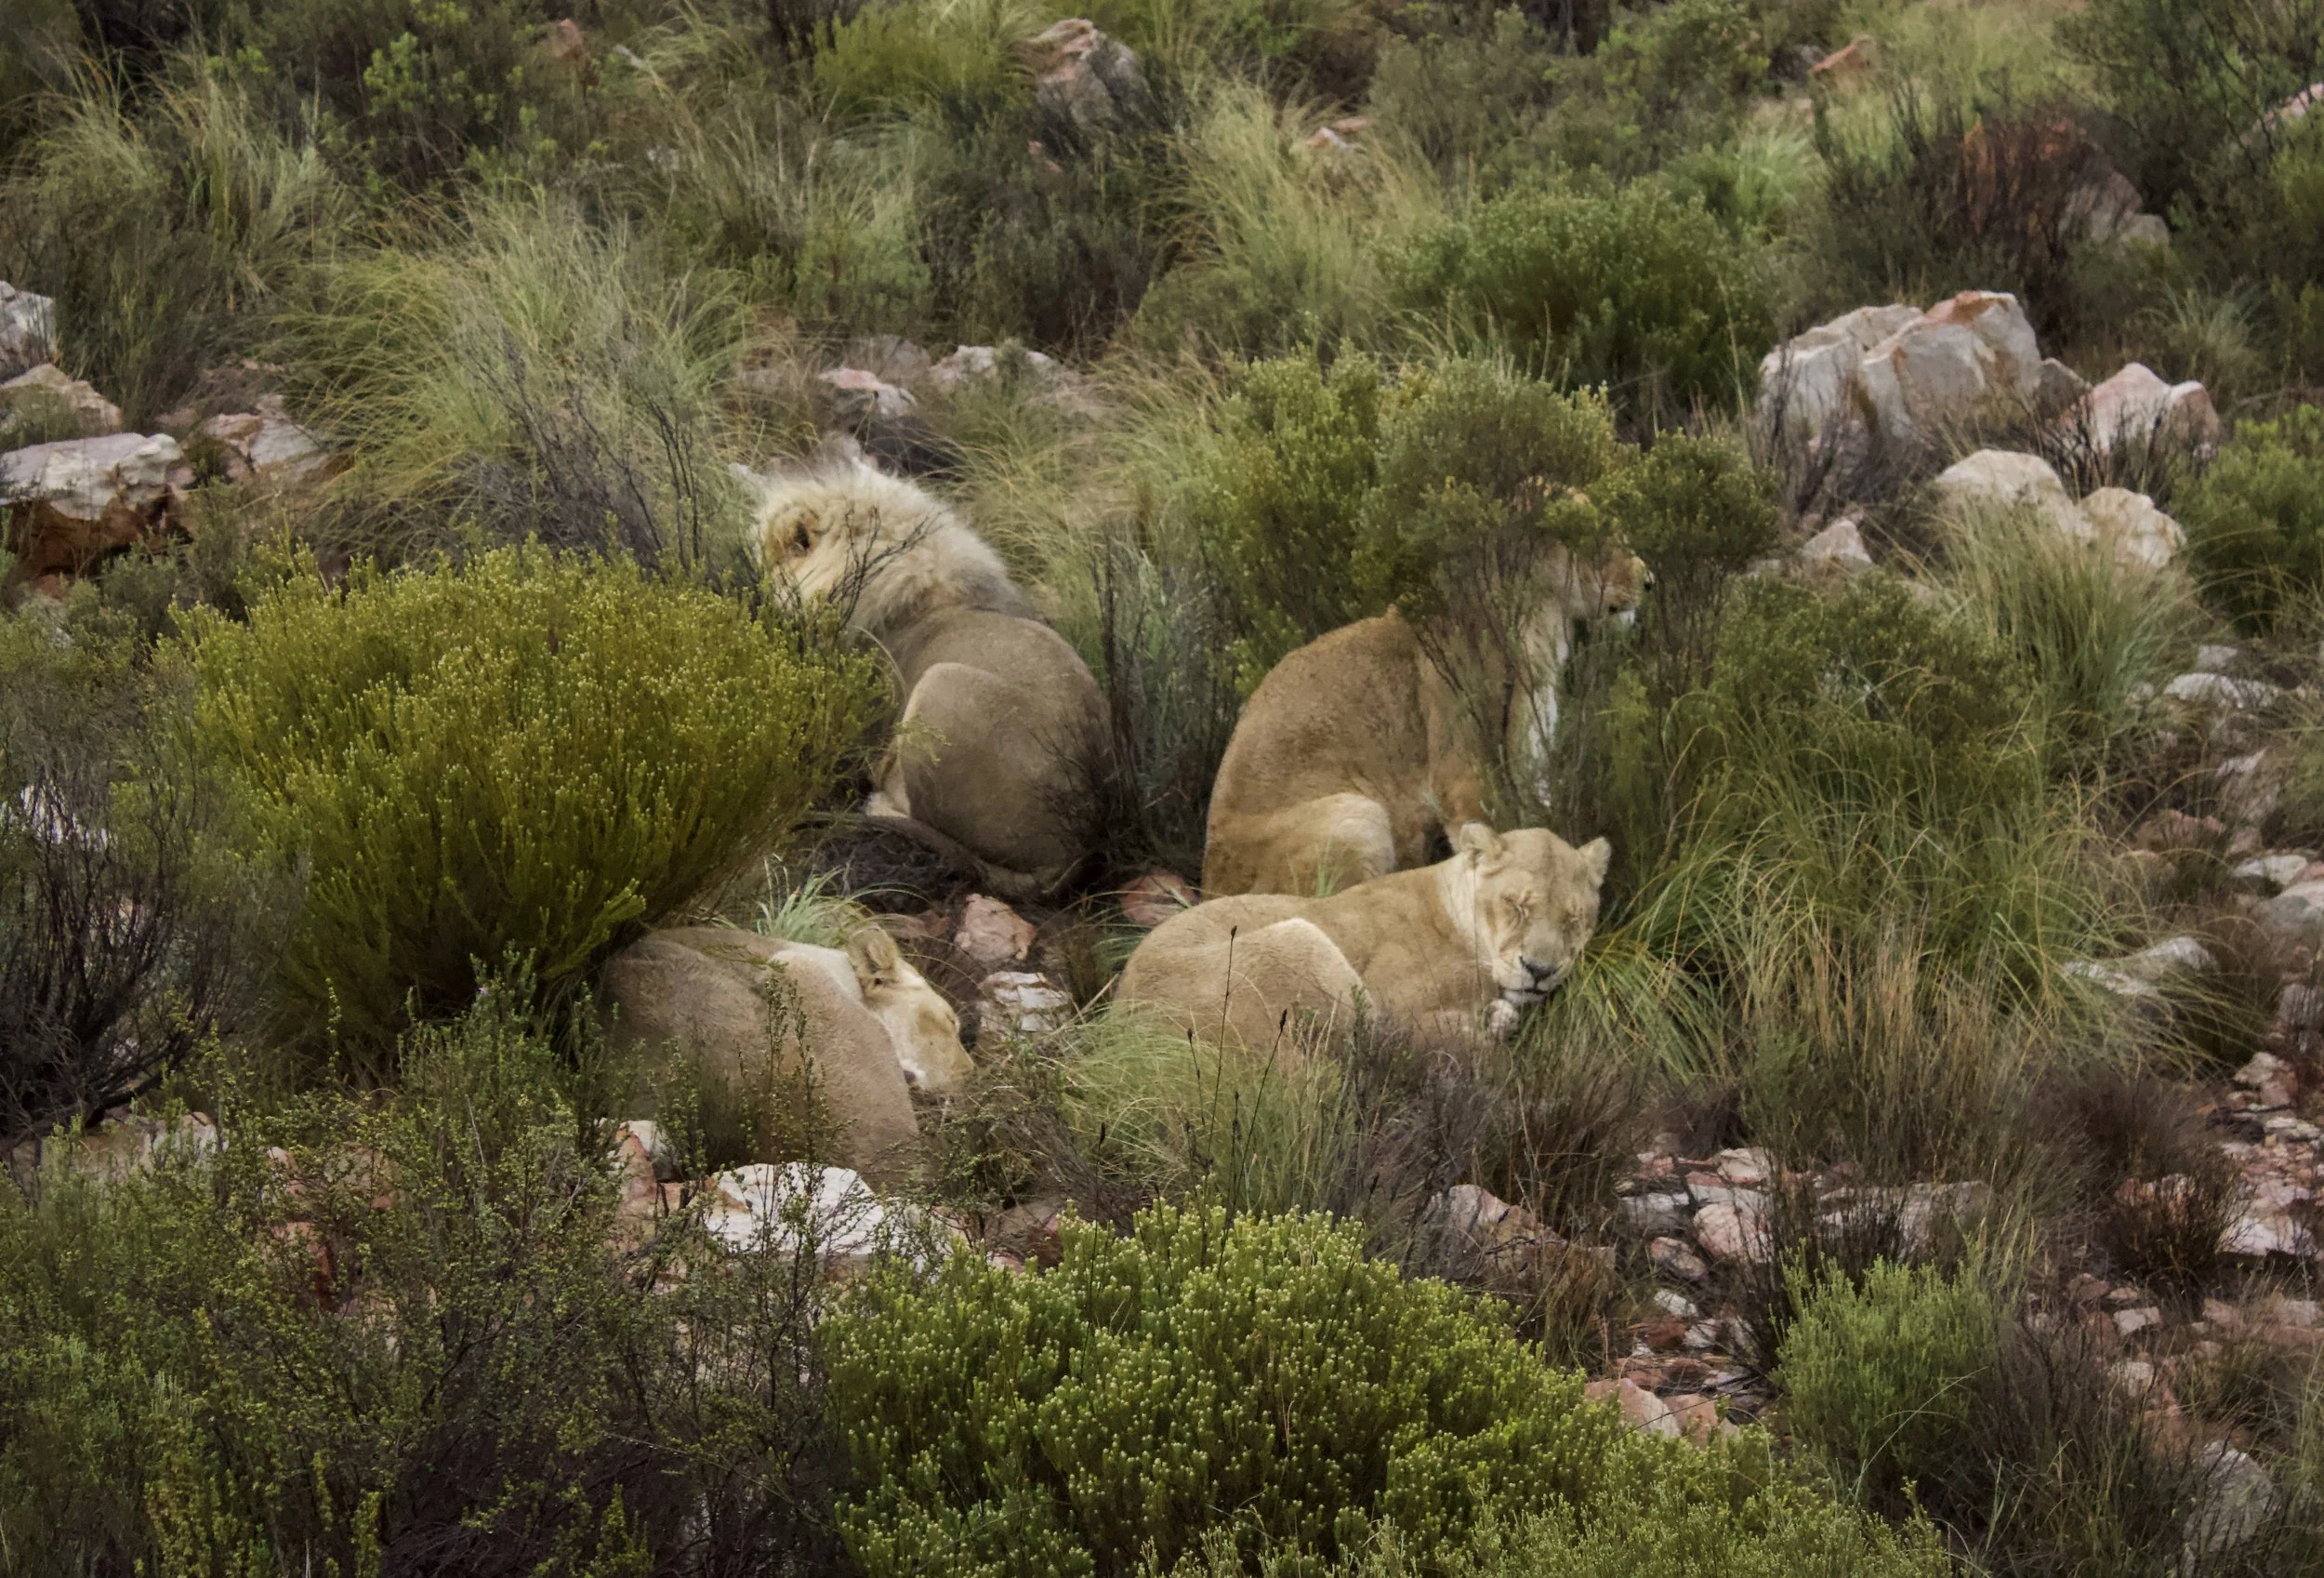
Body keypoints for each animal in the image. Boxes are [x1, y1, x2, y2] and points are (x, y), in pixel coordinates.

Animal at [1119, 823, 1610, 1051]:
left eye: (1573, 919)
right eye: (1516, 905)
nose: (1540, 971)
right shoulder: (1392, 997)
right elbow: (1417, 1030)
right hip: (1305, 939)